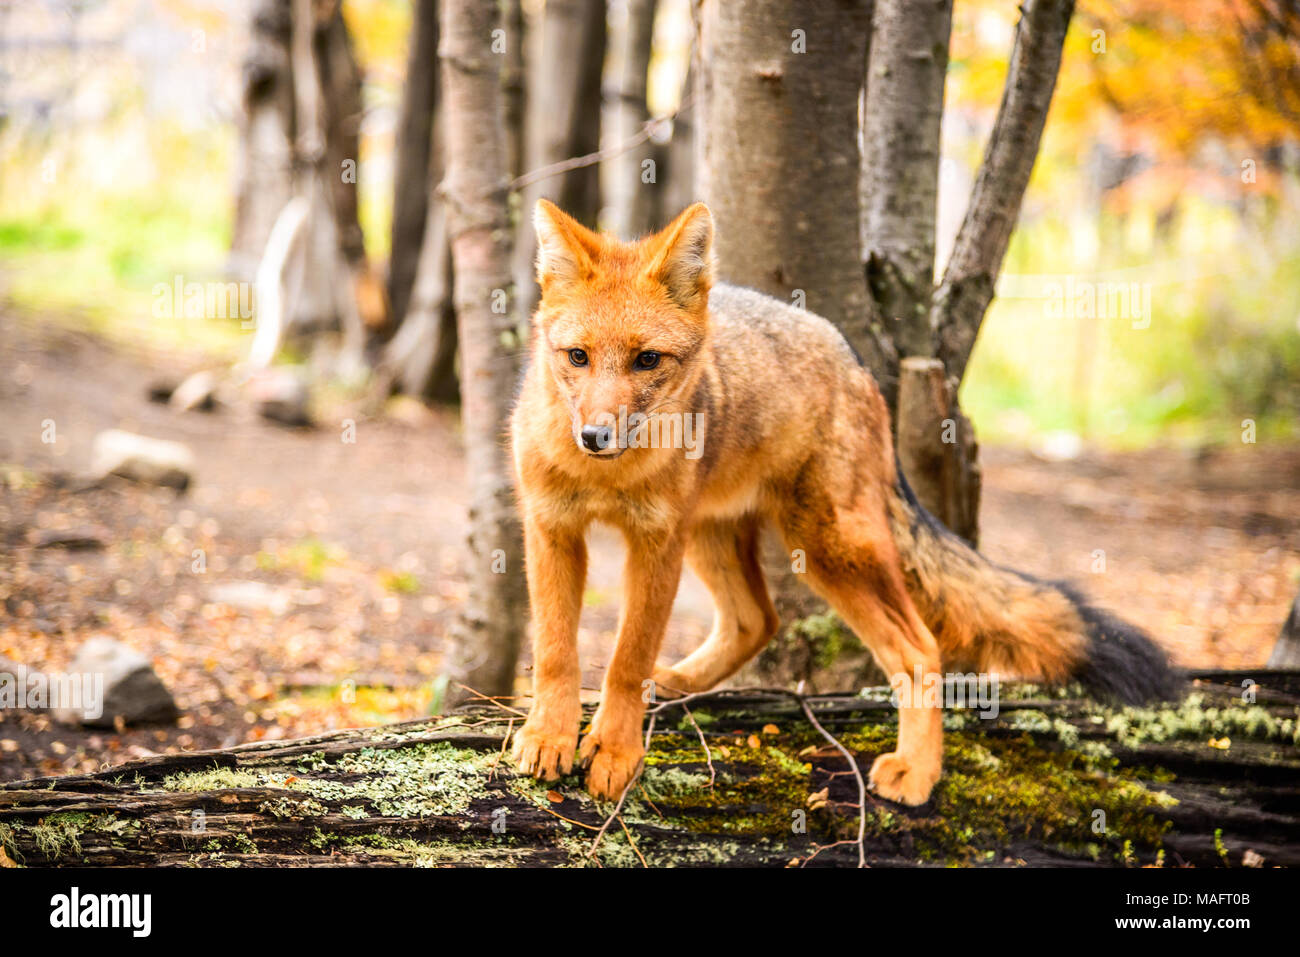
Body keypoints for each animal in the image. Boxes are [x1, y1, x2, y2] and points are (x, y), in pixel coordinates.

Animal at [509, 199, 1180, 806]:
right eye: (578, 357)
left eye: (647, 359)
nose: (595, 437)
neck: (606, 480)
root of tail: (850, 352)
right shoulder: (550, 529)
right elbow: (556, 651)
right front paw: (549, 736)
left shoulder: (655, 543)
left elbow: (626, 660)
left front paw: (614, 749)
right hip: (720, 536)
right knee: (758, 620)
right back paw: (675, 683)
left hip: (828, 547)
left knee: (919, 648)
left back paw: (917, 771)